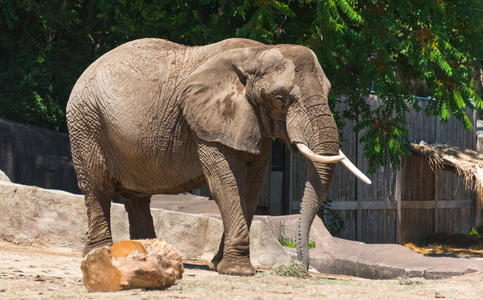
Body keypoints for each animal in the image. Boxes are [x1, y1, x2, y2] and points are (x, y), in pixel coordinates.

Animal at [67, 37, 370, 276]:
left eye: (329, 92)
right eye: (280, 99)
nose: (302, 268)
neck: (256, 52)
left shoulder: (253, 123)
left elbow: (251, 187)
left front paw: (218, 265)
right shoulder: (209, 124)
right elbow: (226, 182)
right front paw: (238, 271)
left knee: (136, 197)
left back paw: (150, 254)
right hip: (86, 122)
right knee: (97, 187)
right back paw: (101, 253)